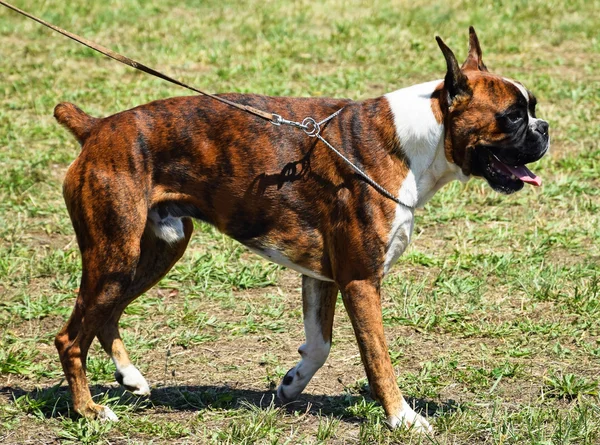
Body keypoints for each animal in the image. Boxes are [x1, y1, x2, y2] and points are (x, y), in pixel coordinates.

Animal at [52, 27, 548, 430]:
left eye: (533, 109)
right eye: (513, 117)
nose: (544, 129)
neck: (416, 141)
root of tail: (97, 128)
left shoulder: (322, 276)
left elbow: (320, 345)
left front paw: (290, 385)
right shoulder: (360, 280)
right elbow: (378, 358)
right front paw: (402, 418)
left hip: (155, 250)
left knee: (104, 316)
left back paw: (129, 376)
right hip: (116, 255)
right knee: (70, 337)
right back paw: (88, 411)